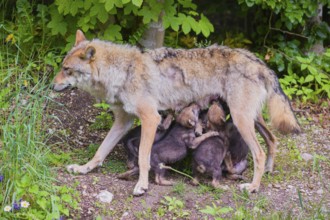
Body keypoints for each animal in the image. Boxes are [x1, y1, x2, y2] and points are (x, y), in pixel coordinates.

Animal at [52, 30, 300, 195]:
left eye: (67, 70)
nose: (51, 85)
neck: (122, 71)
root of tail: (259, 62)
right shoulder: (124, 121)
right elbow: (100, 152)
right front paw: (83, 169)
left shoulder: (151, 118)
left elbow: (143, 157)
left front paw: (141, 185)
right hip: (250, 119)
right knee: (273, 140)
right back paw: (268, 171)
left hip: (242, 121)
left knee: (259, 152)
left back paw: (253, 187)